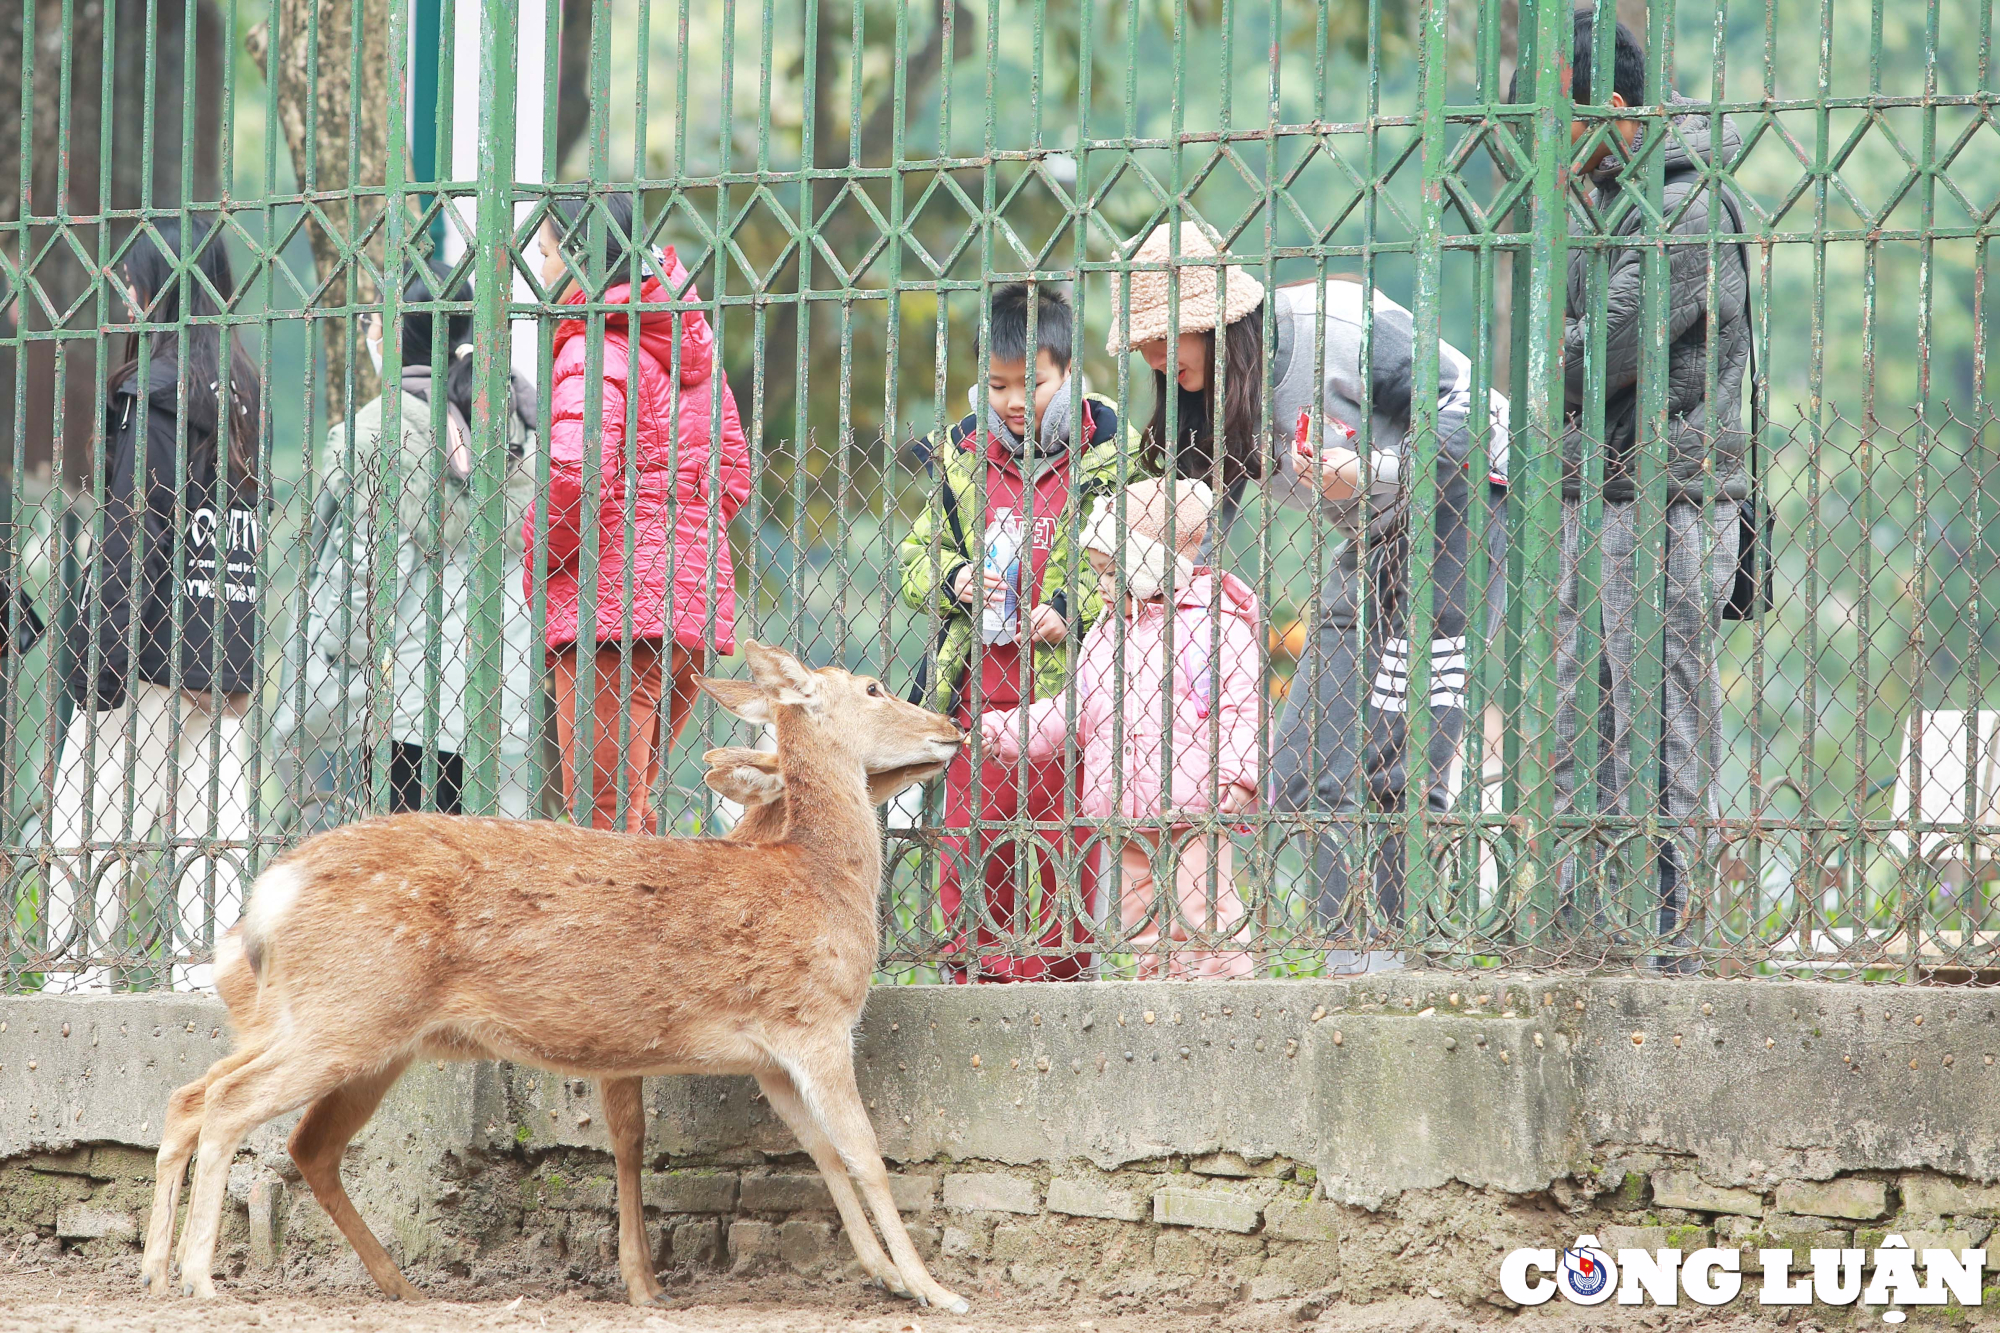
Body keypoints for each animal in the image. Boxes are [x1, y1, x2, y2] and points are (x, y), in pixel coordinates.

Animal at [139, 644, 968, 1304]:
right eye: (872, 687)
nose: (952, 728)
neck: (819, 879)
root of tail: (269, 892)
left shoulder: (769, 1057)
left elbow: (827, 1154)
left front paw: (886, 1275)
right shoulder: (815, 1021)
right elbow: (868, 1155)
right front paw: (935, 1289)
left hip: (343, 1025)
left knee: (212, 1101)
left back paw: (175, 1270)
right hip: (350, 1011)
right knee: (232, 1103)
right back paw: (201, 1277)